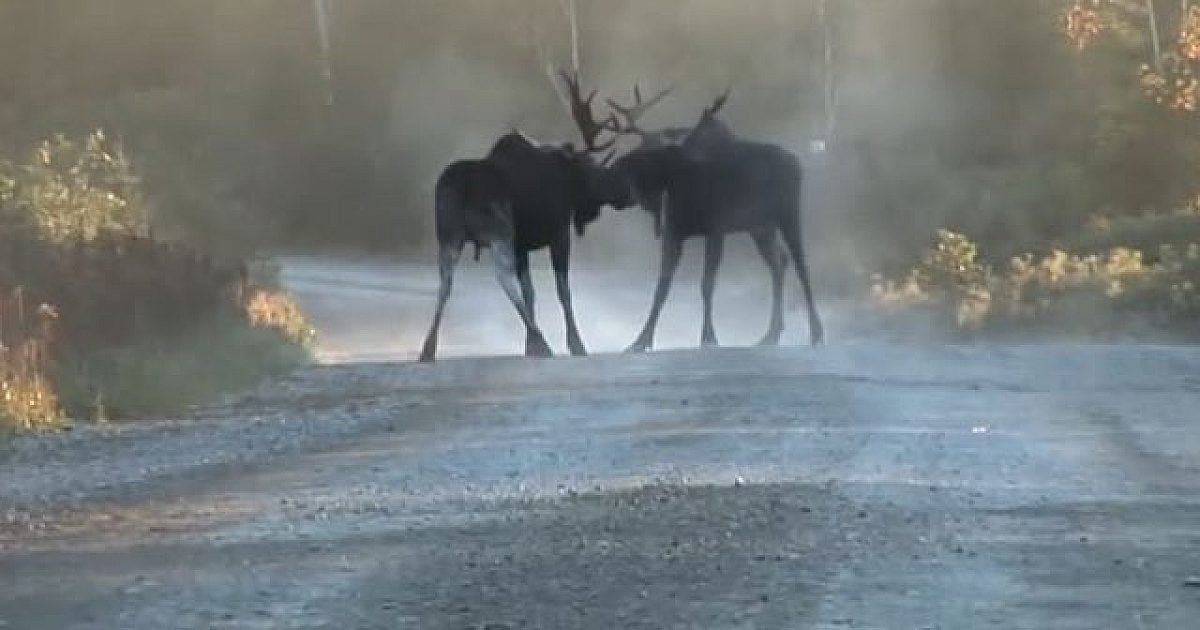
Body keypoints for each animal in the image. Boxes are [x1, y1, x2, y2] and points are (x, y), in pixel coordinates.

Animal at [418, 72, 666, 363]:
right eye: (593, 170)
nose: (626, 195)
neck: (568, 182)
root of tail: (464, 188)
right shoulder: (558, 234)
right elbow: (563, 291)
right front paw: (574, 344)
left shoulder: (523, 245)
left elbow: (531, 291)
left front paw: (530, 346)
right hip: (498, 229)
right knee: (502, 276)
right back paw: (544, 343)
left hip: (448, 234)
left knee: (445, 283)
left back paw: (428, 348)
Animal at [608, 91, 825, 352]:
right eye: (641, 146)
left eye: (657, 153)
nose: (621, 166)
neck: (683, 189)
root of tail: (796, 161)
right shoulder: (673, 233)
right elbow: (661, 287)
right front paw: (640, 341)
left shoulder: (716, 231)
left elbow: (707, 284)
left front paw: (709, 338)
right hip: (760, 227)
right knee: (779, 261)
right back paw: (771, 334)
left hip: (788, 214)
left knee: (802, 266)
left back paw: (816, 333)